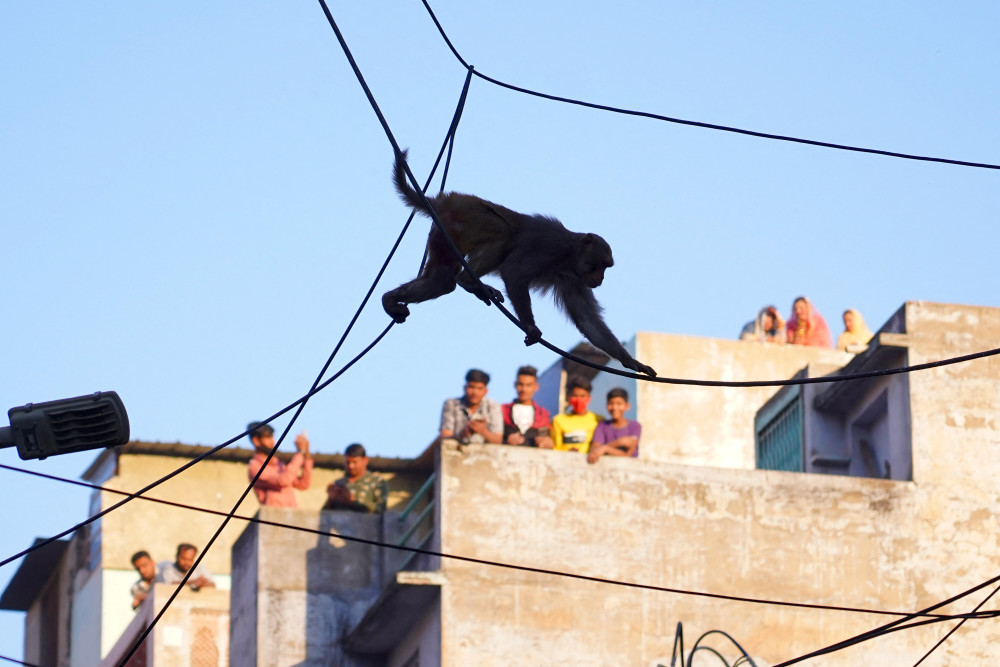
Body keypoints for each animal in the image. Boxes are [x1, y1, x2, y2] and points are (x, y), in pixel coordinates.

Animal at [382, 153, 656, 380]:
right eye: (599, 266)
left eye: (606, 268)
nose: (601, 279)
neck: (569, 256)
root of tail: (443, 201)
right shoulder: (548, 247)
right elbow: (514, 273)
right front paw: (531, 326)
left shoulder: (573, 279)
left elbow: (586, 320)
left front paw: (630, 361)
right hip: (465, 214)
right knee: (502, 235)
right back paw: (469, 281)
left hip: (444, 231)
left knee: (441, 280)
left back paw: (391, 299)